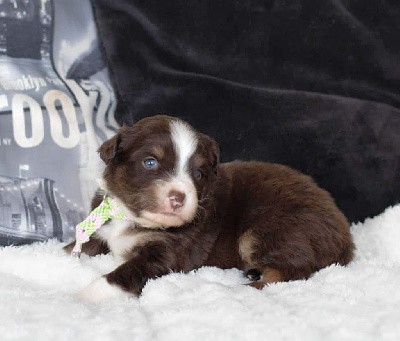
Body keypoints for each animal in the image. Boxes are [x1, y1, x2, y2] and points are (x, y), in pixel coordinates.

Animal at [64, 114, 354, 300]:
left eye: (198, 173)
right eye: (150, 162)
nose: (179, 197)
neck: (132, 217)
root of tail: (345, 234)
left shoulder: (166, 255)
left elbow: (121, 274)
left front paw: (83, 297)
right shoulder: (100, 232)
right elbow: (74, 249)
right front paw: (58, 258)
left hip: (270, 229)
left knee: (289, 274)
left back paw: (231, 289)